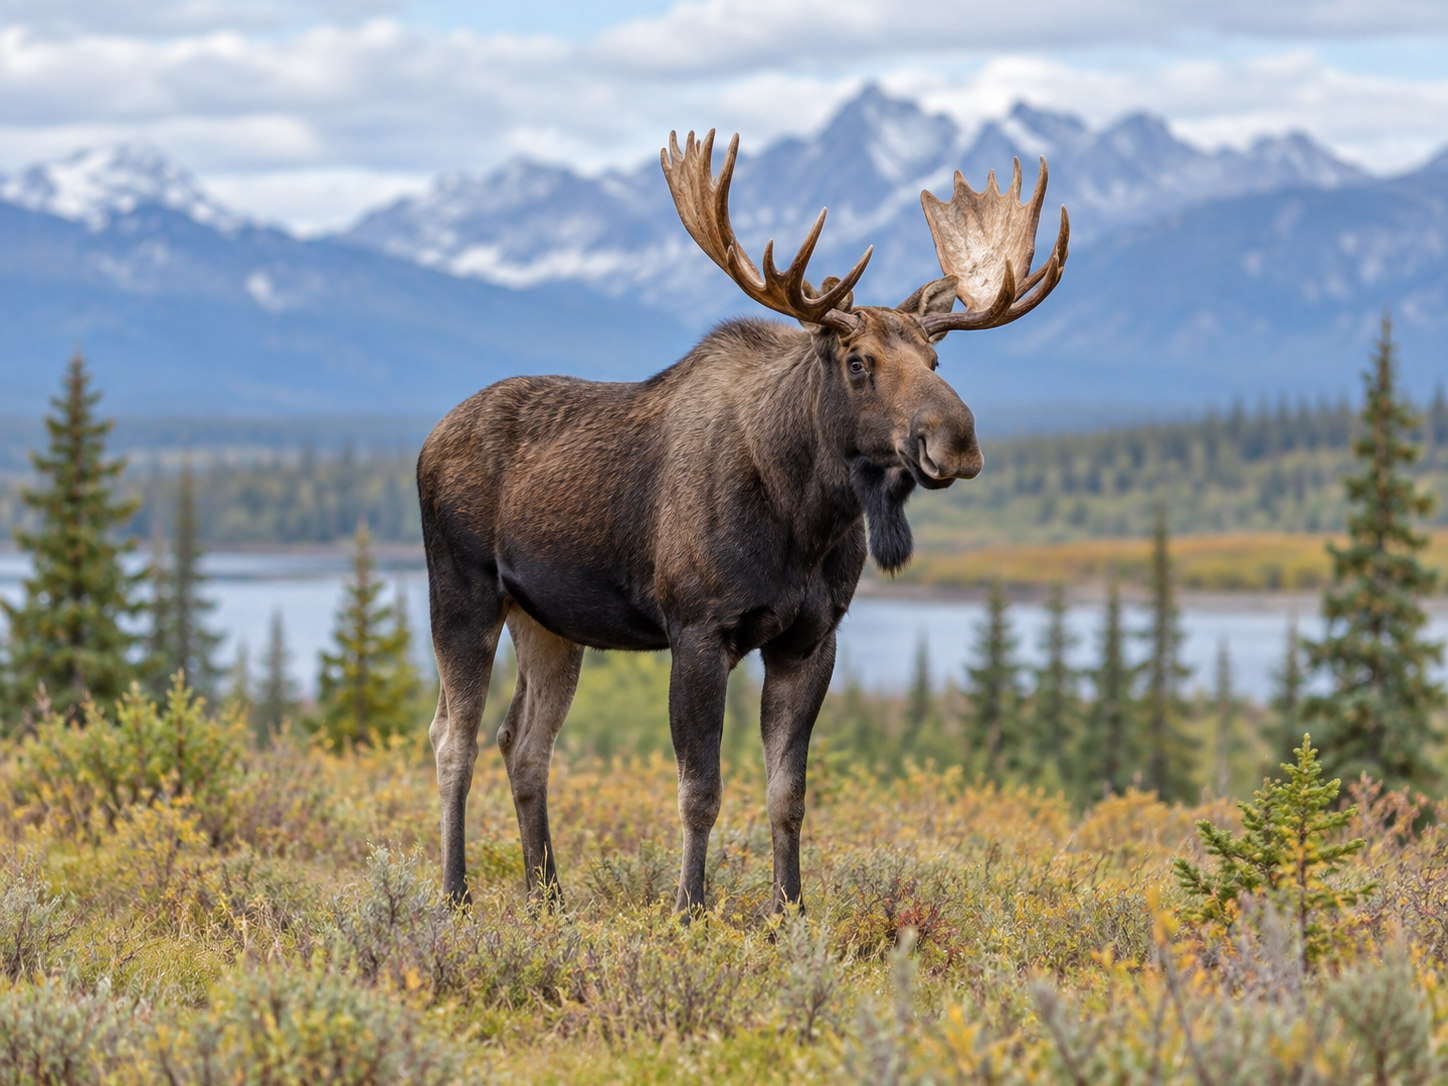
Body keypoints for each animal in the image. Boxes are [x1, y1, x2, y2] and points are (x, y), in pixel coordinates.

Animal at [418, 129, 1069, 913]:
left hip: (549, 623)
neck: (803, 519)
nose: (958, 440)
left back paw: (548, 896)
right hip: (462, 594)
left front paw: (790, 910)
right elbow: (700, 791)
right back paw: (455, 892)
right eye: (858, 361)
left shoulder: (810, 640)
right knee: (453, 738)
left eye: (936, 356)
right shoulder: (699, 631)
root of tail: (427, 441)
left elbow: (788, 794)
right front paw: (689, 908)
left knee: (523, 742)